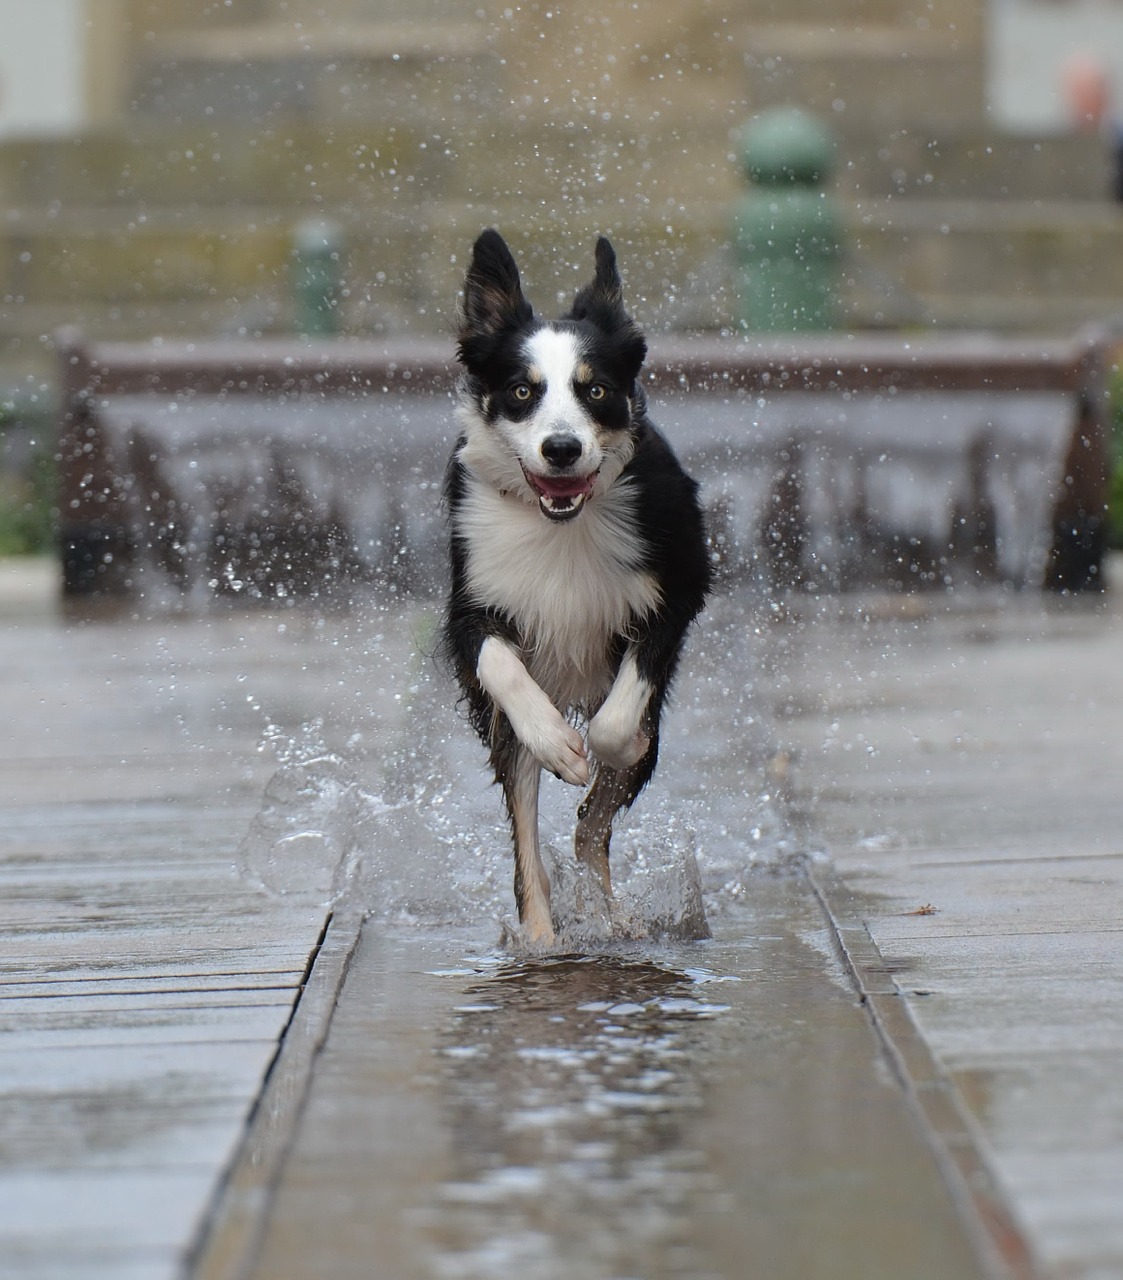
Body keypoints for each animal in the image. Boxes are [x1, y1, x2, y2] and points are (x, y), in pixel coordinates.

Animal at [440, 230, 711, 942]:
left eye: (595, 390)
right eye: (520, 391)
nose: (561, 448)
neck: (562, 523)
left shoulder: (677, 590)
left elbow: (620, 724)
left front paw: (614, 742)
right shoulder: (469, 604)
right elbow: (502, 667)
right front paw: (561, 746)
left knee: (592, 826)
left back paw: (609, 918)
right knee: (528, 847)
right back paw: (541, 939)